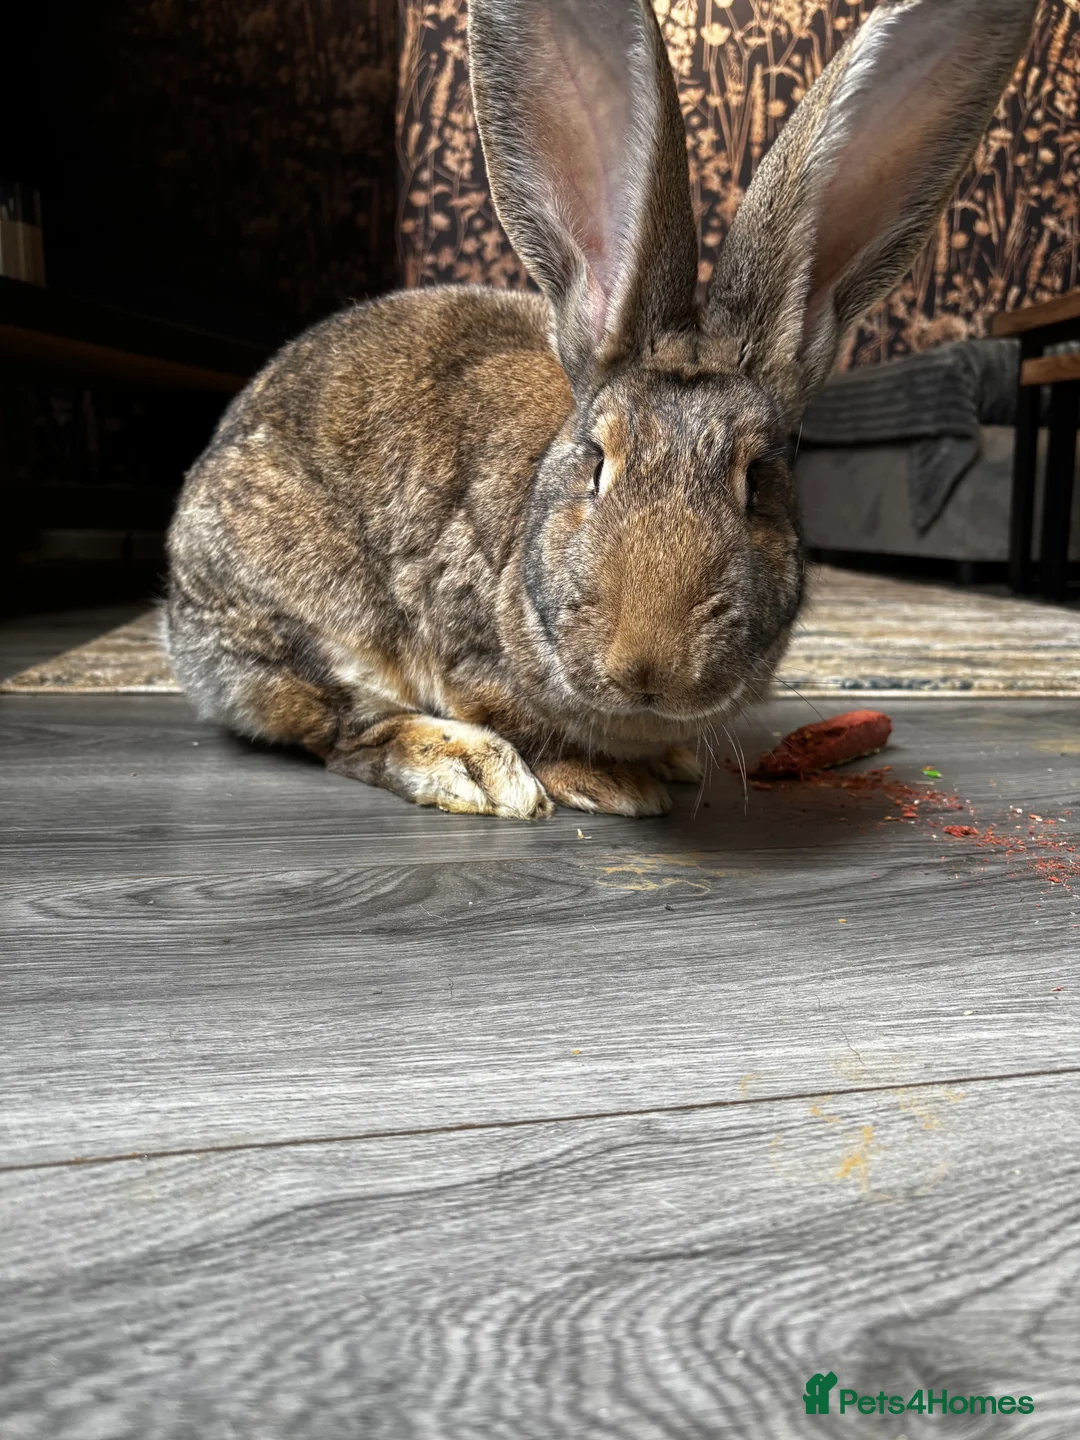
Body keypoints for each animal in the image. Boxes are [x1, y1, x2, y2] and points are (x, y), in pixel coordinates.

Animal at [166, 0, 1035, 819]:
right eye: (597, 463)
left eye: (758, 480)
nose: (647, 665)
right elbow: (521, 724)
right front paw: (608, 782)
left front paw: (671, 763)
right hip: (303, 617)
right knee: (343, 728)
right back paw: (469, 770)